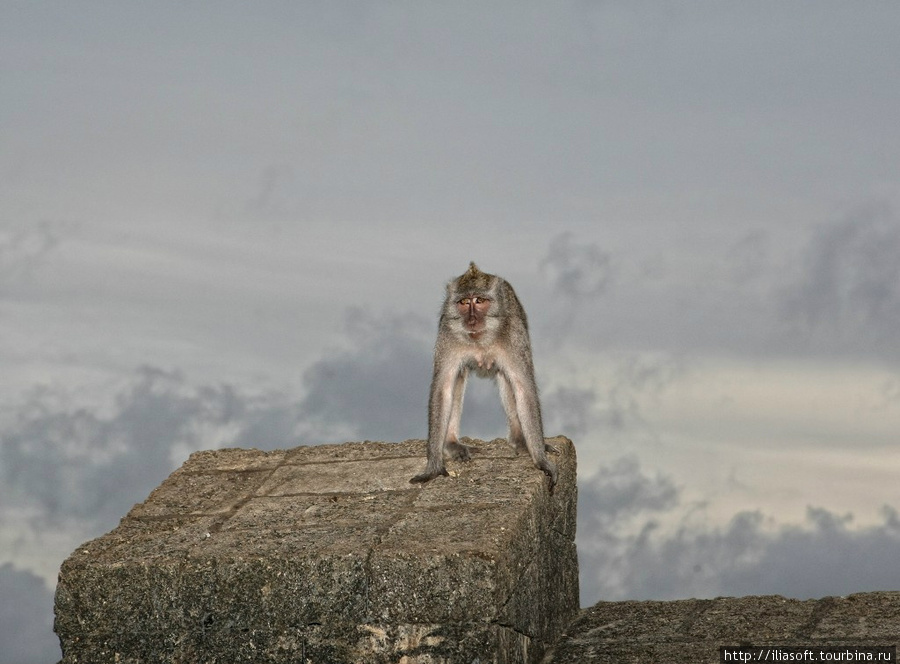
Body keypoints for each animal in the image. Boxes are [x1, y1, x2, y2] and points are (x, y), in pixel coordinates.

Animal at [414, 262, 556, 490]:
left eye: (480, 301)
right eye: (464, 302)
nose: (472, 319)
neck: (479, 339)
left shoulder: (514, 335)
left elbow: (522, 388)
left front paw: (541, 460)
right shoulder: (447, 335)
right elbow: (443, 389)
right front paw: (434, 466)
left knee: (506, 378)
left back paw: (521, 441)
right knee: (458, 377)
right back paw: (451, 443)